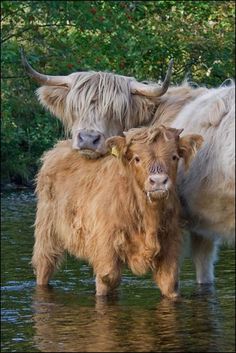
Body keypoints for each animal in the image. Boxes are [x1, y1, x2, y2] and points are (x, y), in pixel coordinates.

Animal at [32, 125, 203, 298]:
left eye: (174, 157)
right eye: (137, 158)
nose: (159, 181)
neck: (148, 216)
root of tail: (58, 147)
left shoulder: (170, 246)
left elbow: (170, 283)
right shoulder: (105, 248)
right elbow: (108, 279)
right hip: (46, 232)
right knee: (44, 264)